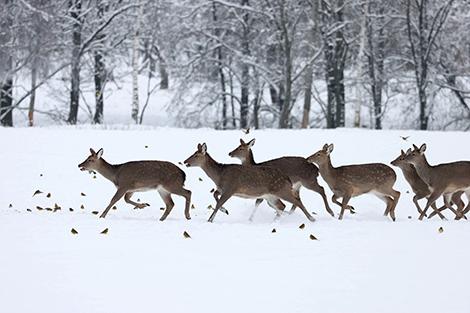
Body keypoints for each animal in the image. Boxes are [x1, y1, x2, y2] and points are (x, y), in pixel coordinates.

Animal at [184, 143, 316, 222]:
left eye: (196, 155)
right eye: (193, 153)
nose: (185, 161)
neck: (219, 175)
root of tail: (287, 178)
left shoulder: (230, 188)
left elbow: (218, 203)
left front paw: (210, 220)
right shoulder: (221, 189)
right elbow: (215, 196)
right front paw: (224, 211)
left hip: (281, 189)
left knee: (297, 201)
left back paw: (311, 218)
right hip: (271, 195)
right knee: (282, 206)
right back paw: (275, 221)